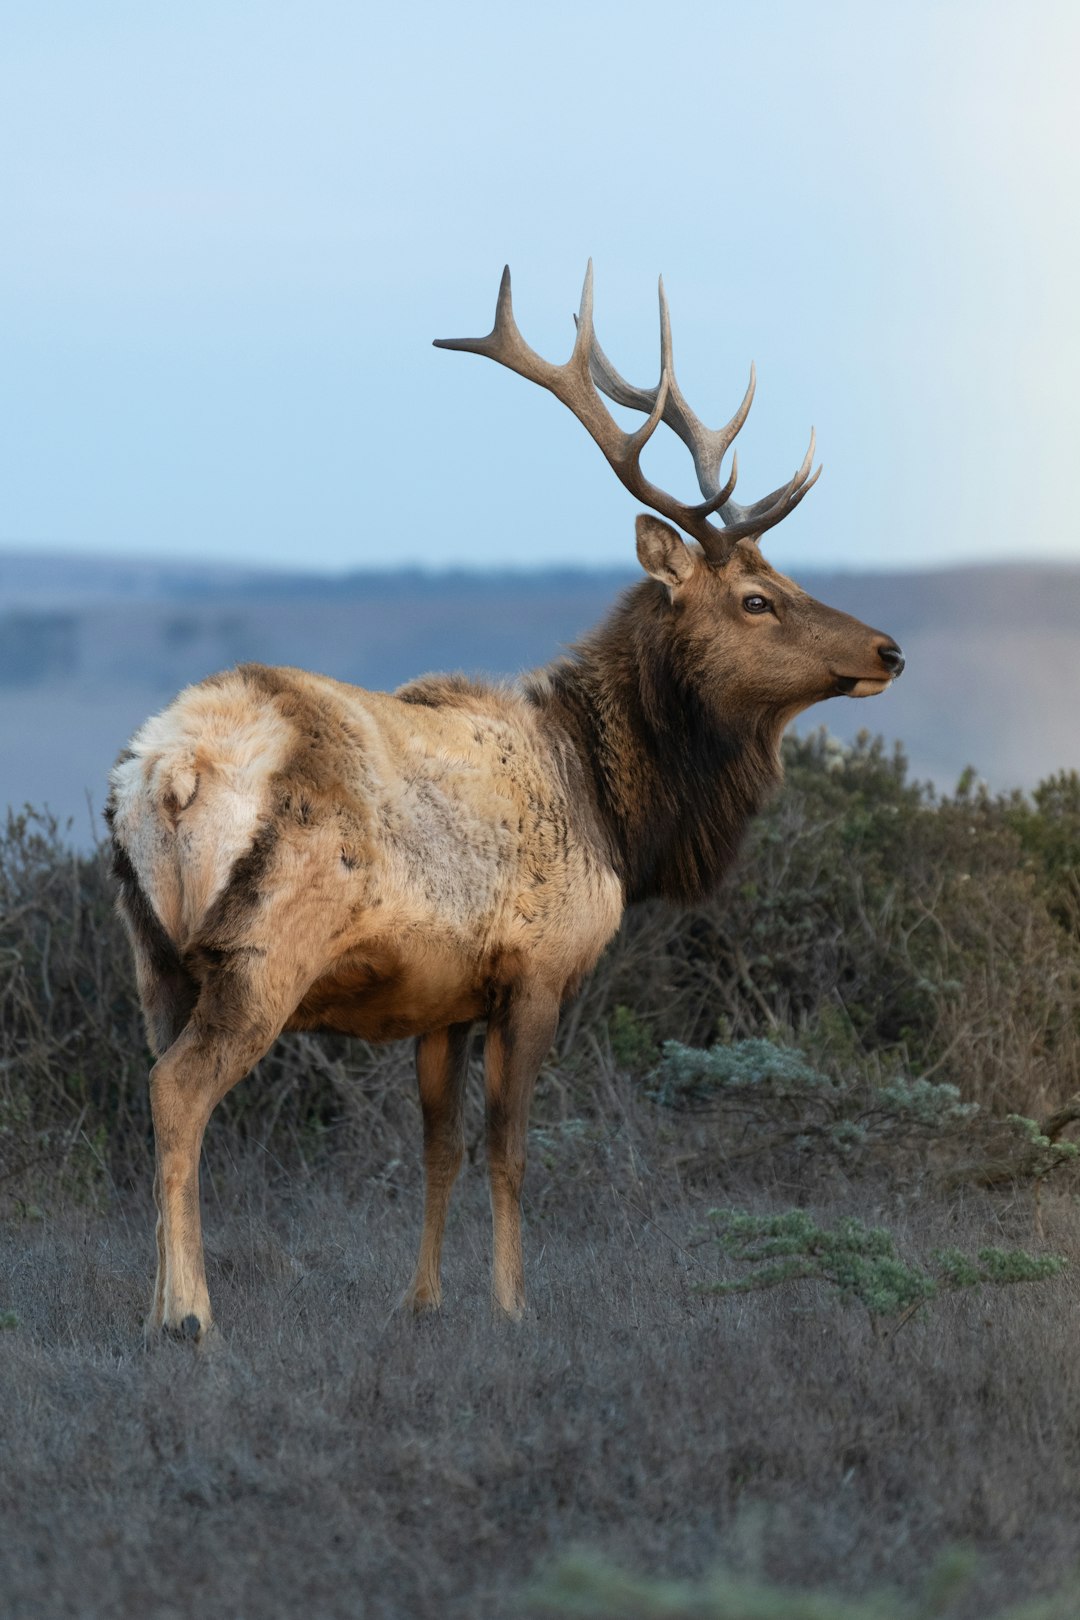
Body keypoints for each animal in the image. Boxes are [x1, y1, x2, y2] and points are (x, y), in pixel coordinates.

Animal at [107, 265, 906, 1341]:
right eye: (757, 600)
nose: (888, 650)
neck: (618, 814)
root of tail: (165, 773)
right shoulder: (537, 969)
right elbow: (512, 1149)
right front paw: (515, 1306)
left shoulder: (442, 996)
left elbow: (439, 1147)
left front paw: (422, 1301)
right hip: (260, 952)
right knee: (182, 1090)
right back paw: (189, 1316)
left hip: (153, 956)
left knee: (153, 1088)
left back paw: (156, 1304)